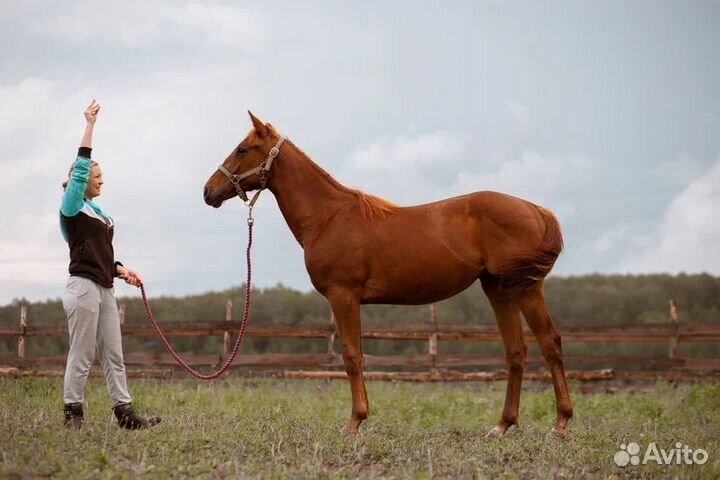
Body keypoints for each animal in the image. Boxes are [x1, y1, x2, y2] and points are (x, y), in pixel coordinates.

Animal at [202, 113, 572, 438]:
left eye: (241, 149)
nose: (208, 191)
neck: (329, 217)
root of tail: (537, 210)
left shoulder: (344, 295)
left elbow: (352, 356)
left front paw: (355, 422)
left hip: (525, 287)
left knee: (549, 343)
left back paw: (560, 424)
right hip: (498, 289)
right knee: (516, 351)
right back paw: (503, 425)